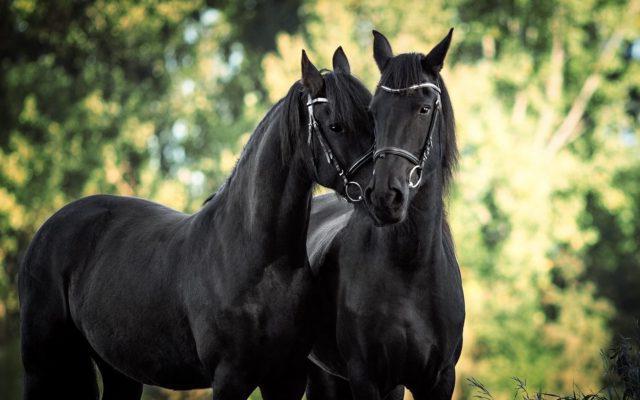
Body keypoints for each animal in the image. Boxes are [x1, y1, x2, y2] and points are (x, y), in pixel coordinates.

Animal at [20, 47, 376, 400]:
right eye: (337, 126)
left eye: (373, 119)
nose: (380, 190)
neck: (259, 261)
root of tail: (48, 229)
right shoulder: (230, 378)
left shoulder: (286, 378)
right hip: (41, 364)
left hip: (118, 370)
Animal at [306, 31, 464, 400]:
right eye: (374, 112)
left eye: (423, 109)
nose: (384, 198)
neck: (410, 267)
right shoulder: (367, 377)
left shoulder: (438, 379)